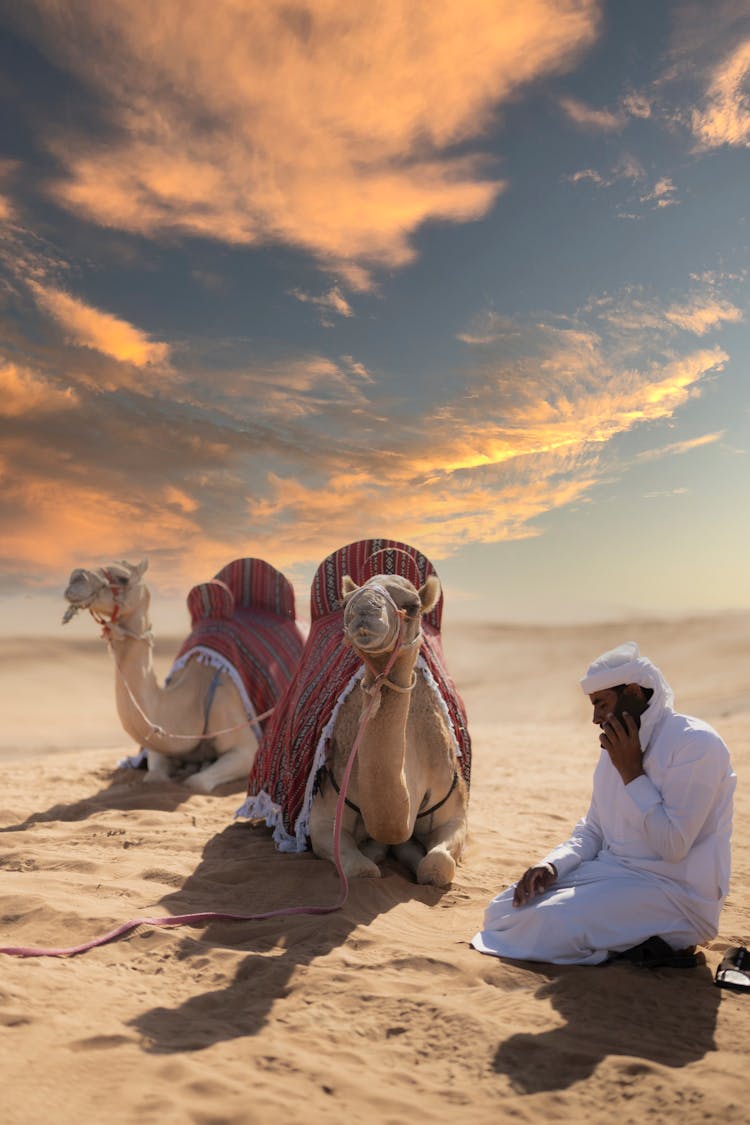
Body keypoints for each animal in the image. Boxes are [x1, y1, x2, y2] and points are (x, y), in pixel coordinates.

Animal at [64, 555, 305, 792]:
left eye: (123, 578)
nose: (75, 578)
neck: (194, 698)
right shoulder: (159, 745)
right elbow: (155, 777)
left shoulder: (245, 746)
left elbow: (197, 782)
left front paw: (196, 769)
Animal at [308, 571, 465, 886]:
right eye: (346, 601)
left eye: (413, 605)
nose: (364, 609)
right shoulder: (323, 815)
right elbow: (362, 870)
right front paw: (375, 851)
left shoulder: (456, 809)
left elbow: (437, 865)